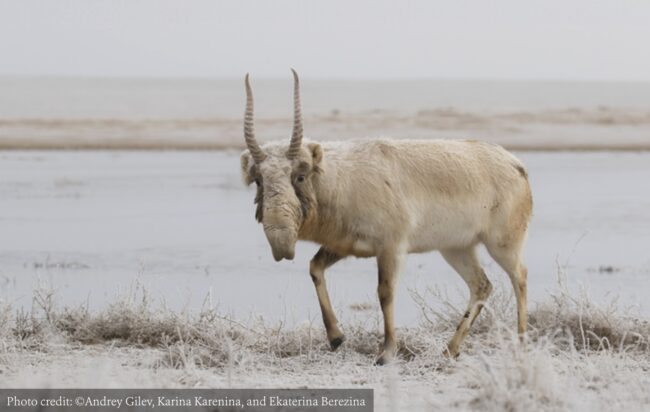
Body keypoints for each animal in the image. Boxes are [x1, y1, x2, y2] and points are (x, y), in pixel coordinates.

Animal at [240, 70, 532, 364]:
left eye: (299, 175)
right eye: (258, 180)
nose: (282, 248)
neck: (342, 178)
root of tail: (516, 164)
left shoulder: (392, 248)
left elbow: (385, 292)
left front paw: (386, 353)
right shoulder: (343, 246)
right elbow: (315, 267)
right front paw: (336, 337)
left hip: (502, 244)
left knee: (519, 276)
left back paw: (520, 342)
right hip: (455, 248)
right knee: (481, 285)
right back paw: (449, 350)